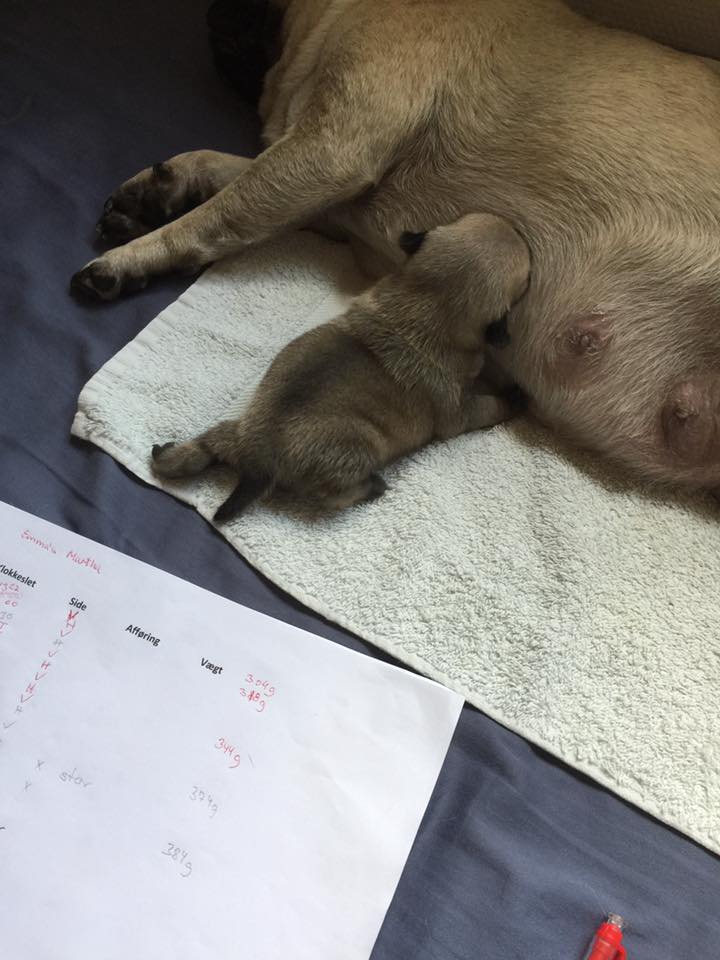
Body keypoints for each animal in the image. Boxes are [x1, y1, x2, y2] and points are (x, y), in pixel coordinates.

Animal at [150, 213, 530, 519]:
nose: (519, 227)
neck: (427, 304)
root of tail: (257, 459)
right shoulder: (459, 411)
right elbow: (489, 407)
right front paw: (515, 398)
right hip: (359, 449)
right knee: (331, 496)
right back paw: (372, 487)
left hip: (236, 430)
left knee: (208, 443)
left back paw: (169, 456)